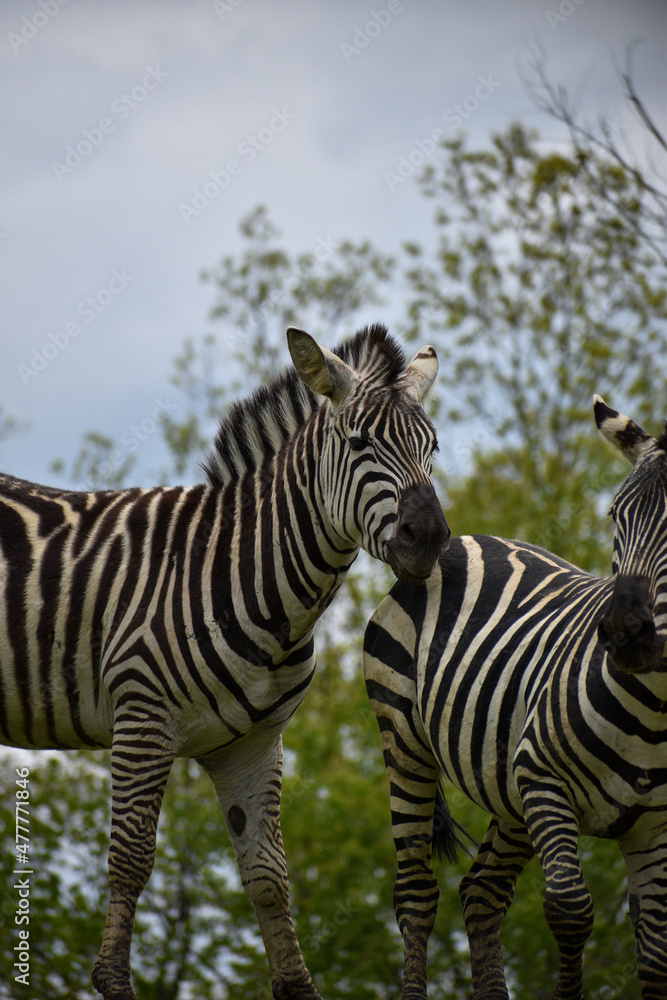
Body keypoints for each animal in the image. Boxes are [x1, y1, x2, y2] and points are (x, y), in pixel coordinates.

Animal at [0, 324, 449, 1000]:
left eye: (434, 447)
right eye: (360, 444)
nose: (430, 539)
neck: (247, 574)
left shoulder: (252, 744)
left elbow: (268, 877)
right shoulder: (143, 718)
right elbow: (131, 858)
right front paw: (112, 980)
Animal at [363, 396, 667, 1000]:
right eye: (614, 517)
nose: (624, 632)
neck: (653, 709)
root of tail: (461, 540)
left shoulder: (655, 829)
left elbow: (654, 955)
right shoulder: (545, 782)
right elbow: (571, 912)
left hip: (508, 787)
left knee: (481, 892)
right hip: (406, 741)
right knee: (415, 895)